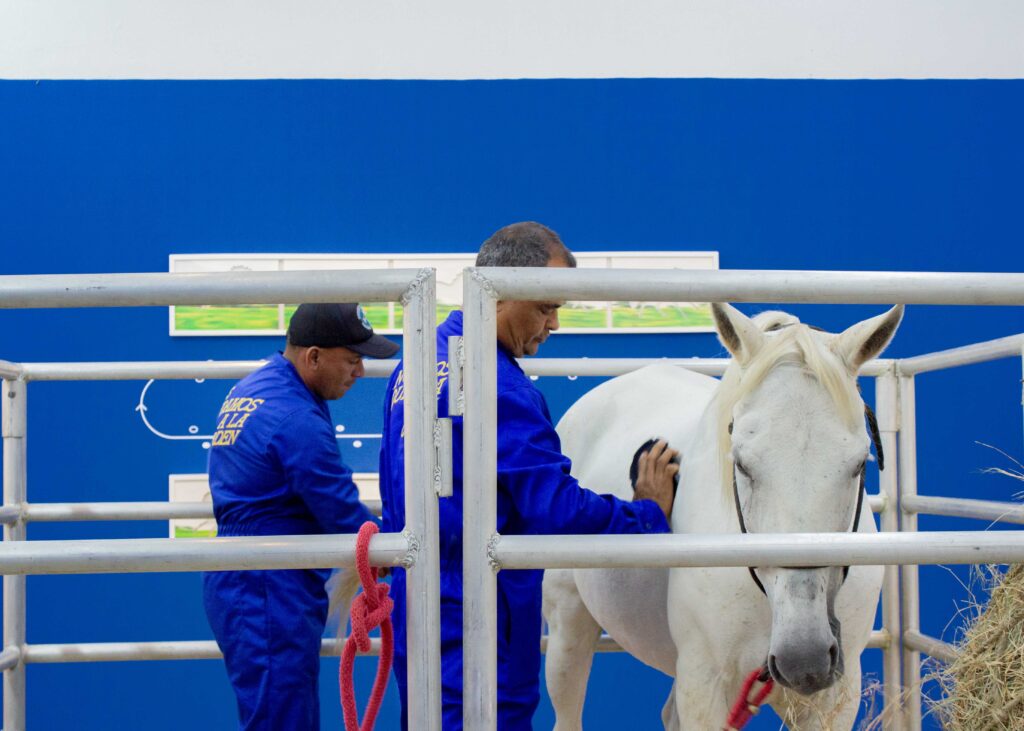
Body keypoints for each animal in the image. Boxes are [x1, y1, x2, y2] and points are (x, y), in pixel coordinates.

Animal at [542, 302, 902, 730]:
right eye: (742, 463)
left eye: (859, 463)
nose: (804, 656)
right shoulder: (704, 685)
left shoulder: (834, 700)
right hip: (567, 626)